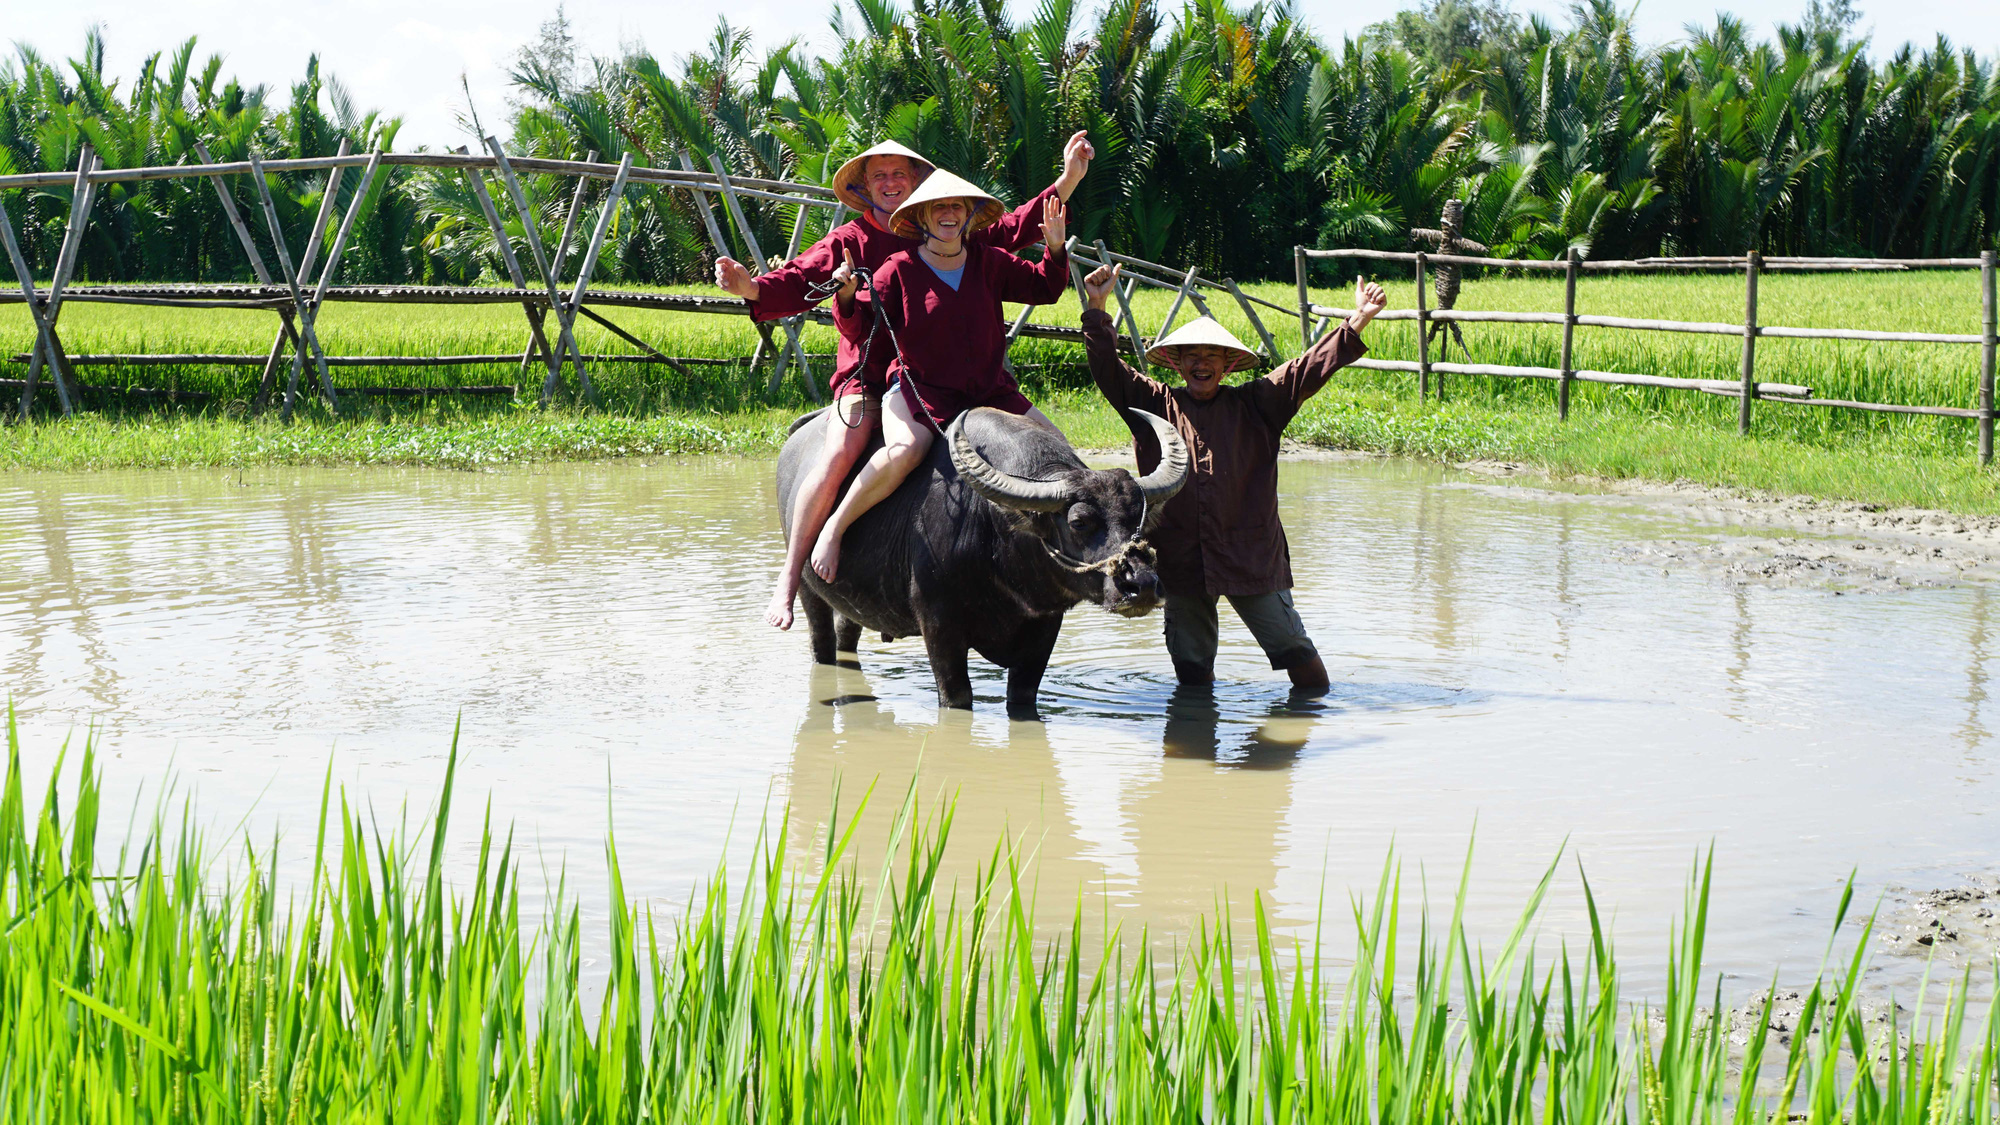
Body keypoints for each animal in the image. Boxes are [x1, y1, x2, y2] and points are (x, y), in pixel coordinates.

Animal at [776, 406, 1184, 712]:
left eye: (1138, 518)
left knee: (847, 633)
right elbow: (957, 697)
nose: (1141, 584)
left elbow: (1023, 696)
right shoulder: (938, 626)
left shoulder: (1044, 627)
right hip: (809, 588)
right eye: (1079, 522)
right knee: (821, 639)